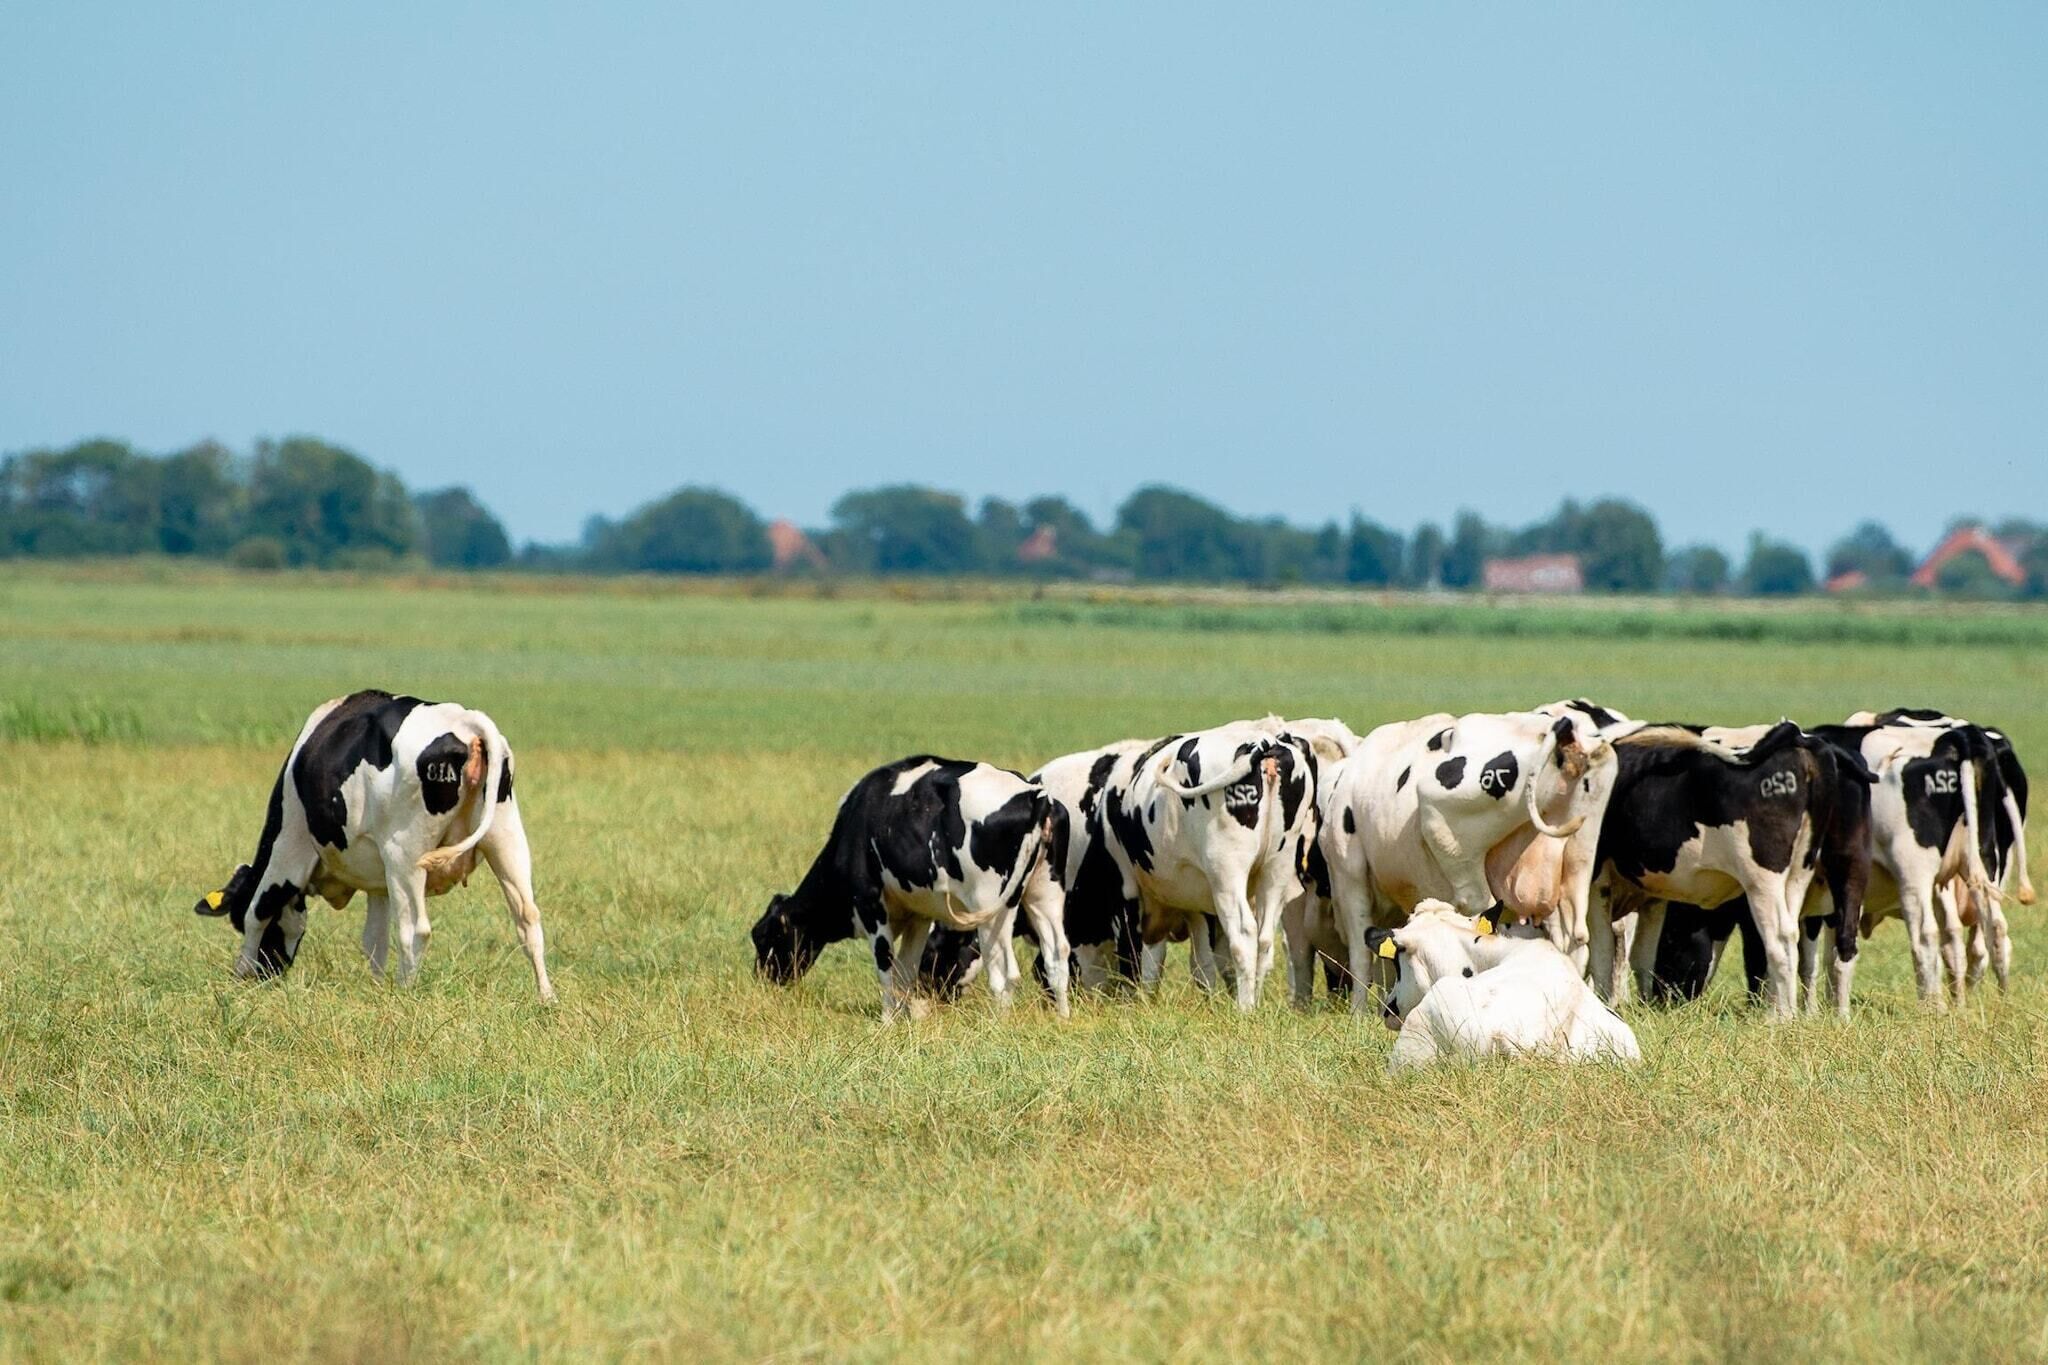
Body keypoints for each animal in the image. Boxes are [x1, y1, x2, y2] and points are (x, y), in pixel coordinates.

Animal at [193, 690, 554, 1002]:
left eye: (234, 919)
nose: (265, 975)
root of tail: (467, 722)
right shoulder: (378, 886)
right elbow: (374, 942)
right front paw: (376, 987)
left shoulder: (287, 851)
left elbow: (258, 910)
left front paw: (240, 974)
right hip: (506, 839)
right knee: (528, 919)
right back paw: (546, 998)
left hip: (405, 854)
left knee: (415, 930)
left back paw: (406, 994)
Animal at [750, 756, 1070, 1020]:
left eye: (764, 936)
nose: (762, 981)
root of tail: (1035, 794)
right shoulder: (919, 915)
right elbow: (906, 969)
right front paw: (906, 1017)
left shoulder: (869, 902)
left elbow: (885, 962)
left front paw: (887, 1020)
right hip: (1044, 896)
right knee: (1057, 955)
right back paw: (1062, 1018)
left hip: (993, 906)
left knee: (1005, 971)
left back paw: (997, 1024)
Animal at [1097, 720, 1322, 1011]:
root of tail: (1262, 743)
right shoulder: (1197, 902)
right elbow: (1200, 961)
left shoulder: (1128, 889)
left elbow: (1139, 957)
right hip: (1277, 868)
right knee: (1264, 939)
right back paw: (1254, 1002)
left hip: (1226, 868)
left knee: (1244, 933)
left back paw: (1244, 1008)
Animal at [1303, 708, 1615, 1014]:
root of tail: (1556, 730)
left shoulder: (1348, 871)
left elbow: (1360, 951)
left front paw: (1358, 1014)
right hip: (1578, 861)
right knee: (1576, 939)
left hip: (1456, 853)